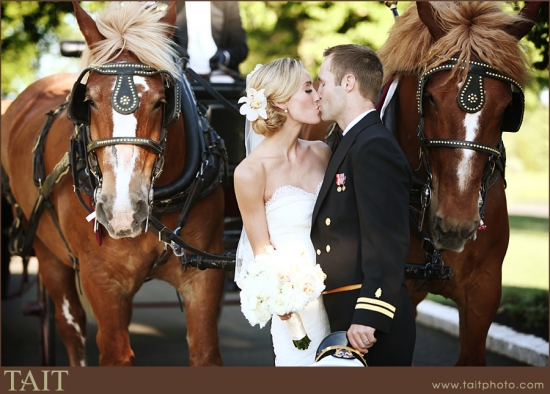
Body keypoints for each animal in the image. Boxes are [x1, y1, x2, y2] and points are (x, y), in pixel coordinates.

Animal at [1, 2, 226, 366]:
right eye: (89, 101)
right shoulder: (101, 279)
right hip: (49, 256)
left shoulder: (203, 276)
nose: (122, 212)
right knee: (72, 326)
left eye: (161, 102)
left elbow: (205, 352)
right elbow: (113, 353)